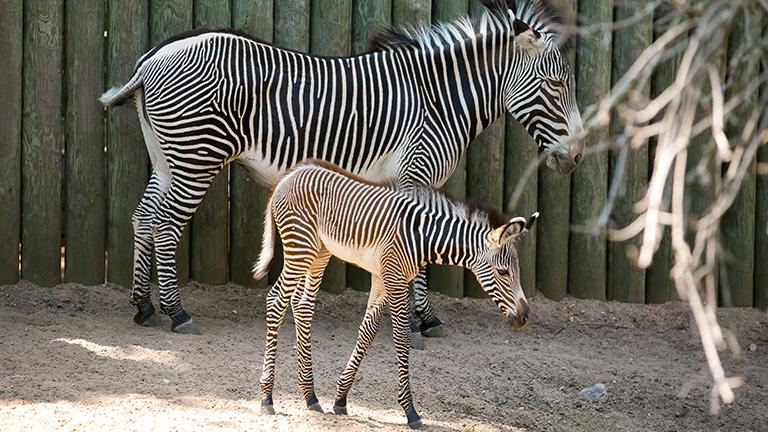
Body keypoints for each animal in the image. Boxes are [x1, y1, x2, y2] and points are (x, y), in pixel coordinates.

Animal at [100, 0, 584, 334]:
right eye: (555, 84)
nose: (577, 156)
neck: (440, 100)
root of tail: (153, 56)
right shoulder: (416, 177)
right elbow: (421, 256)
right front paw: (422, 320)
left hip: (168, 155)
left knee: (142, 216)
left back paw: (142, 306)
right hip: (196, 155)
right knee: (165, 223)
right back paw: (176, 311)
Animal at [252, 159, 536, 428]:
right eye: (503, 272)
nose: (525, 317)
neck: (422, 238)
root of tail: (289, 176)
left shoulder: (382, 277)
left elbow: (368, 332)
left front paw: (340, 398)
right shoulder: (394, 277)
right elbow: (401, 337)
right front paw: (410, 411)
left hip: (319, 253)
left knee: (302, 307)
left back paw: (310, 396)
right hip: (300, 248)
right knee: (276, 301)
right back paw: (267, 397)